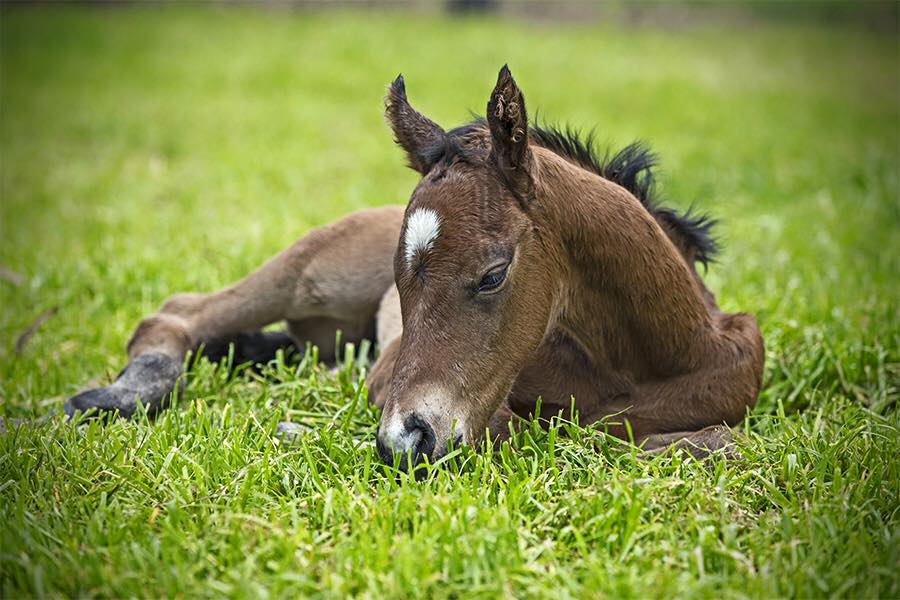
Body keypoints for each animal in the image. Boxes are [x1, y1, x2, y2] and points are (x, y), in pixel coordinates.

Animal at [65, 68, 768, 466]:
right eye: (399, 282)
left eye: (492, 274)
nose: (401, 442)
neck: (651, 357)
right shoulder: (407, 384)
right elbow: (540, 430)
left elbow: (709, 439)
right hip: (308, 270)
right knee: (177, 315)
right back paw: (116, 397)